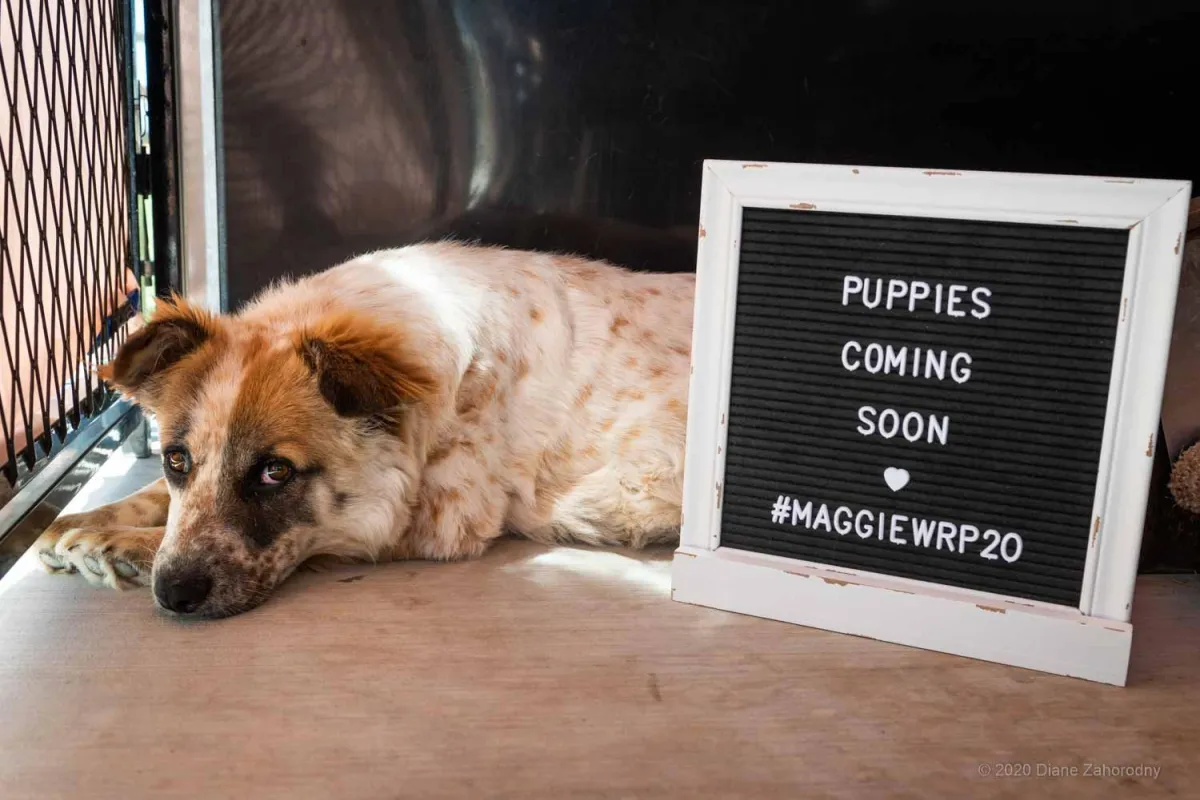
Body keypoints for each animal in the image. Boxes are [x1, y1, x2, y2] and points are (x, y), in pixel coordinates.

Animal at [32, 244, 696, 618]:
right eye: (175, 460)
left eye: (276, 471)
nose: (173, 595)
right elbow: (156, 503)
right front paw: (86, 520)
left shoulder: (431, 518)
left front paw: (113, 544)